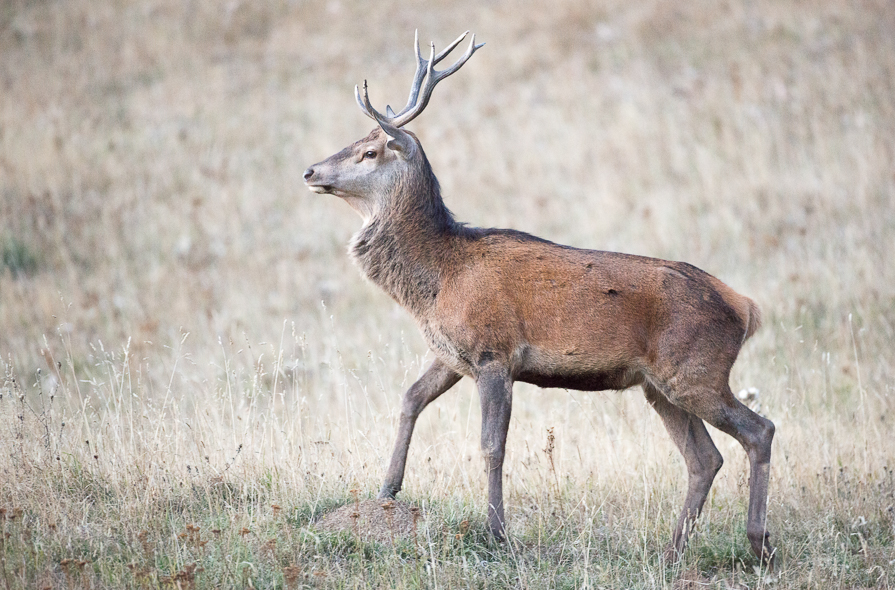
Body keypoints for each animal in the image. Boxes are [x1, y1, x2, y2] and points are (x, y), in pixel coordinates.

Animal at [302, 31, 776, 564]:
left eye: (370, 151)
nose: (310, 170)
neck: (436, 281)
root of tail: (746, 308)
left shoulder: (494, 353)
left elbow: (492, 446)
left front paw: (497, 533)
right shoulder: (451, 353)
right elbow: (409, 399)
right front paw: (386, 491)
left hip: (696, 370)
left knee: (760, 430)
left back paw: (757, 543)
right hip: (660, 385)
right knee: (705, 458)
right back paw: (672, 550)